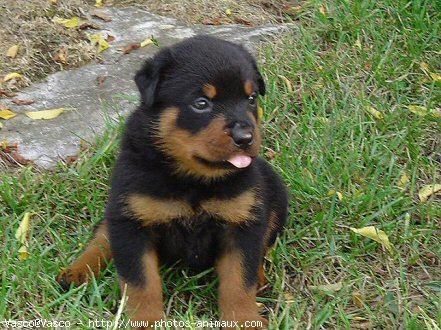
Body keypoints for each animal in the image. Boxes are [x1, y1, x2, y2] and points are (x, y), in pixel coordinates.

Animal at [56, 34, 288, 328]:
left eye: (251, 98)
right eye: (201, 103)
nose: (245, 137)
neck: (194, 180)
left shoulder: (242, 222)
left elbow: (239, 281)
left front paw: (244, 320)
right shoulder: (133, 222)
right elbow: (141, 284)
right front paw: (147, 321)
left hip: (275, 196)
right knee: (102, 236)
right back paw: (78, 270)